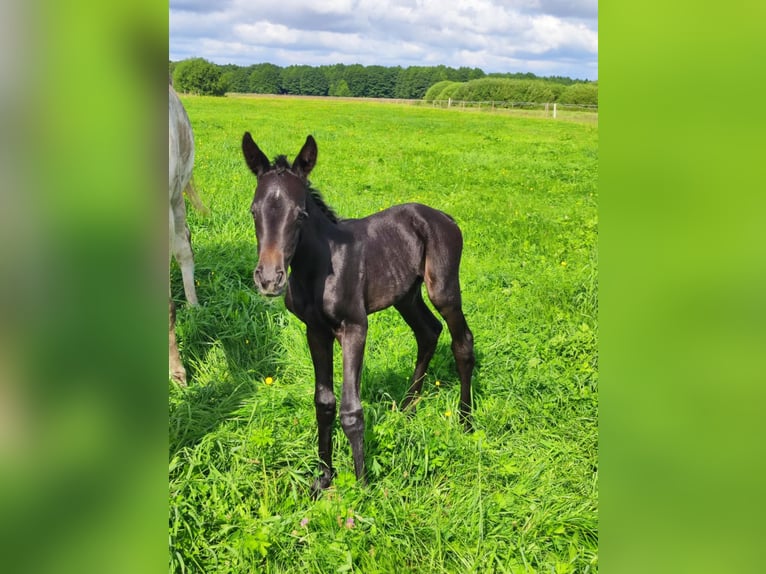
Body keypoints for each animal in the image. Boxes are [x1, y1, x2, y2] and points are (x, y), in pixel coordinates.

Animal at [242, 133, 475, 495]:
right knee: (428, 332)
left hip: (444, 288)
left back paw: (465, 421)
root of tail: (445, 218)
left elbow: (351, 409)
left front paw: (363, 487)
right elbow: (324, 403)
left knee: (461, 340)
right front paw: (323, 477)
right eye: (255, 211)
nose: (269, 279)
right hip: (405, 295)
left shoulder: (354, 327)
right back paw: (407, 409)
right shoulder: (315, 331)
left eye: (300, 214)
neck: (319, 267)